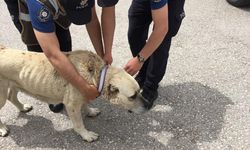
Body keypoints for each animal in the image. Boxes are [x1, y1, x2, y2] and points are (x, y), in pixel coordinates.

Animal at [0, 45, 146, 142]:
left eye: (140, 91)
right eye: (132, 96)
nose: (148, 105)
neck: (97, 74)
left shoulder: (84, 93)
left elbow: (86, 104)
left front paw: (90, 111)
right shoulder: (72, 105)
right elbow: (78, 123)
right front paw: (86, 135)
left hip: (15, 84)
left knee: (12, 97)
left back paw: (22, 107)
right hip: (2, 94)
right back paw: (2, 129)